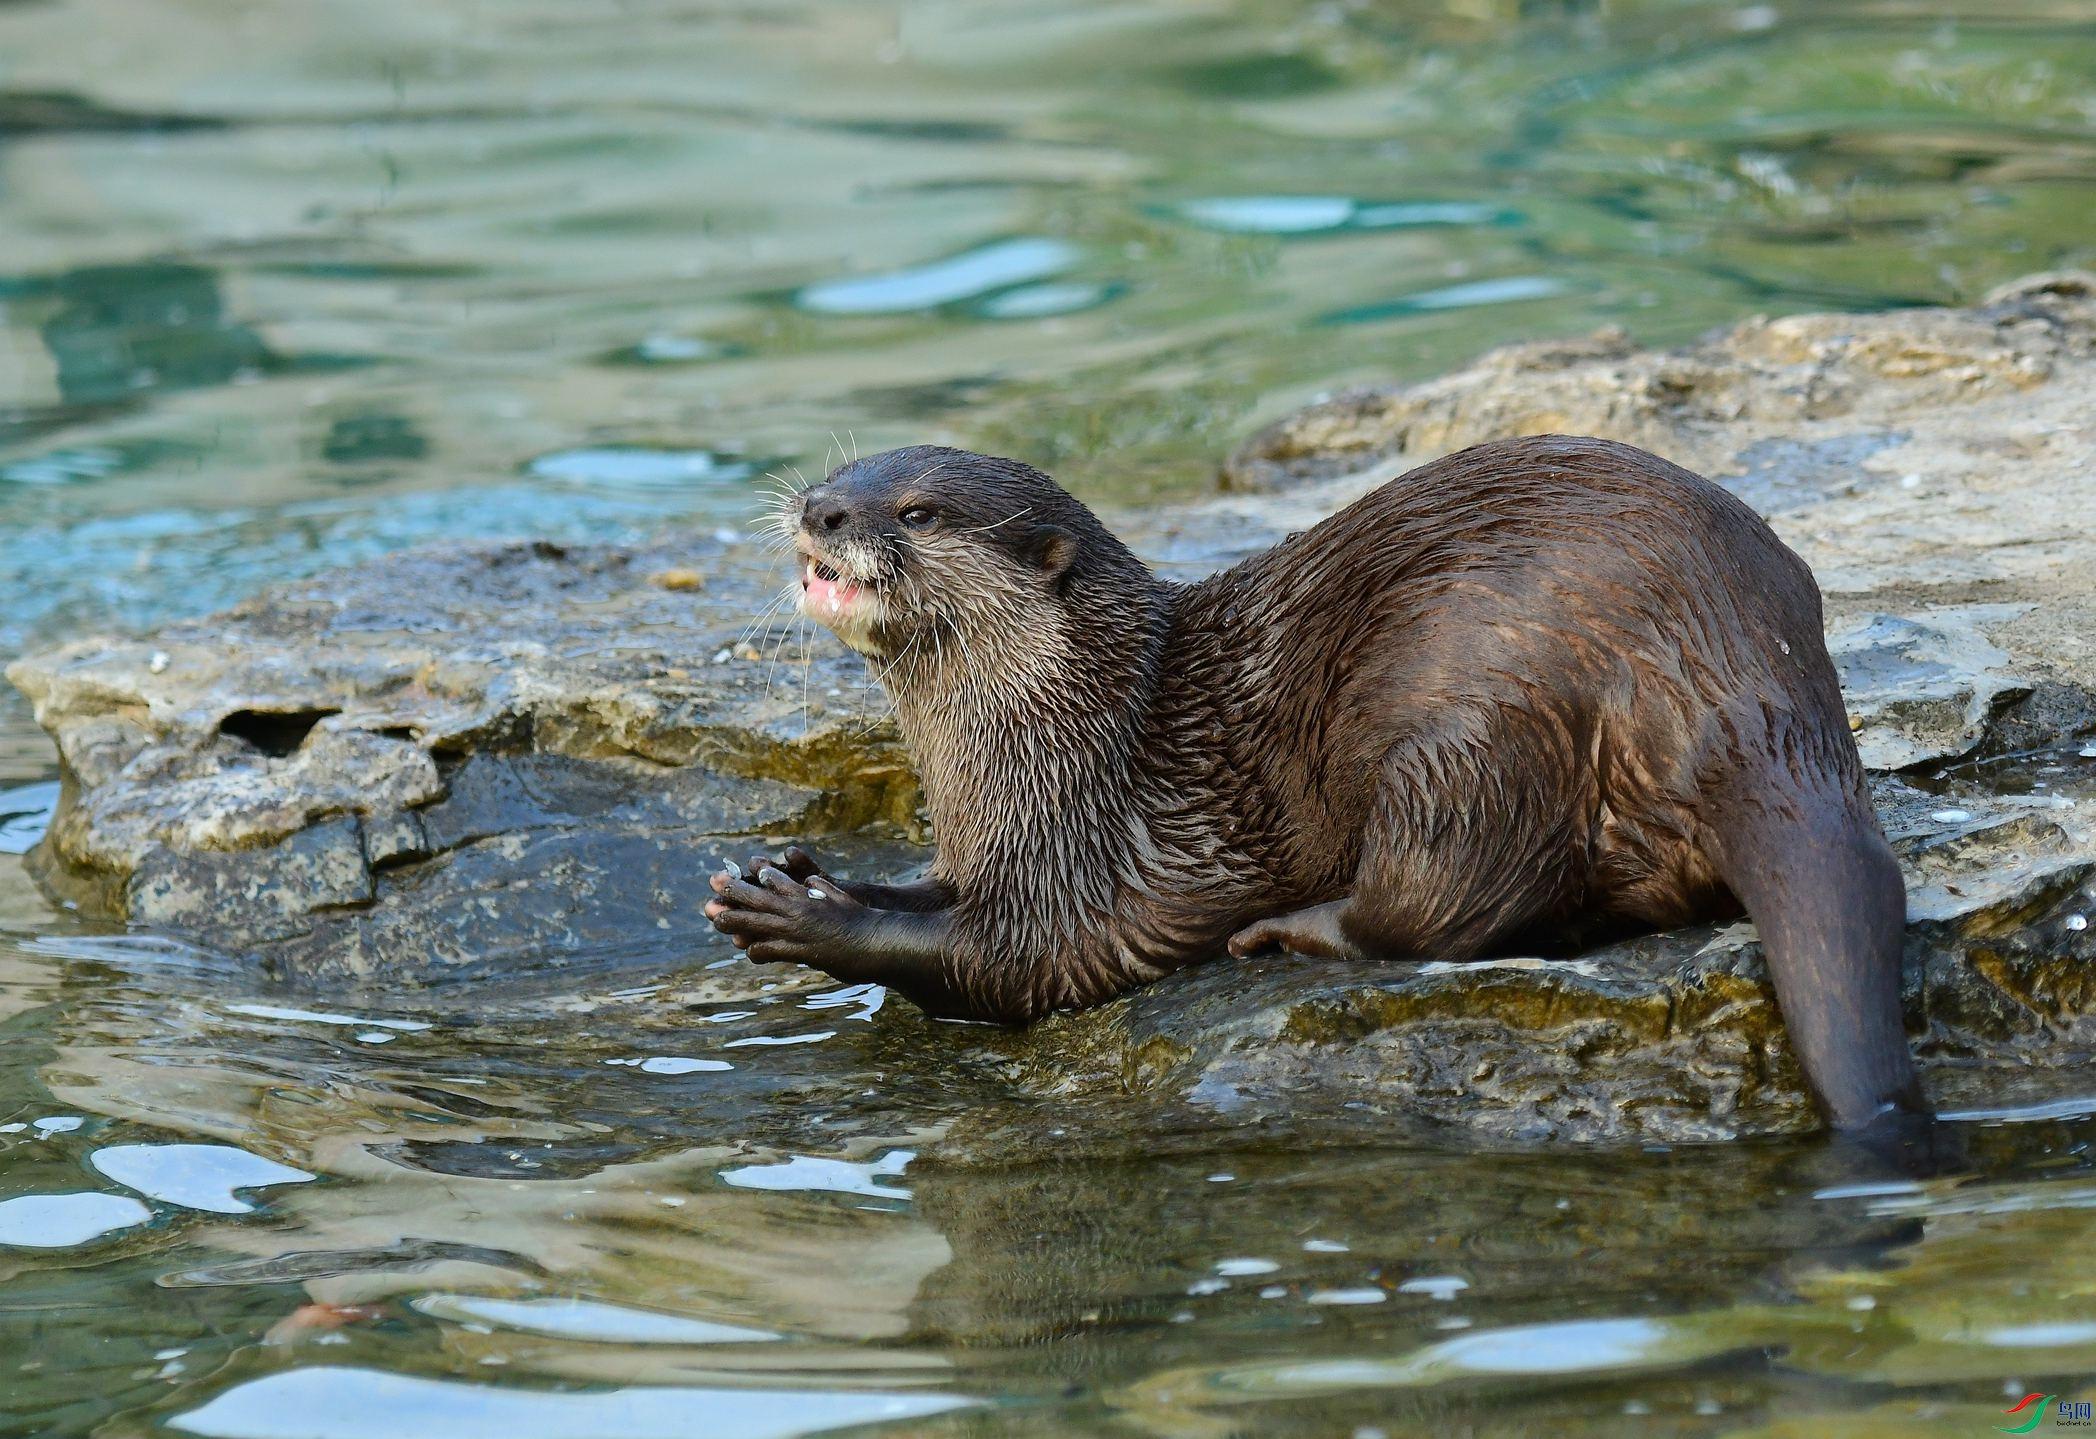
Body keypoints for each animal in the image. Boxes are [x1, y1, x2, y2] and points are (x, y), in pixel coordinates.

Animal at [712, 439, 1919, 1139]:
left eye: (915, 513)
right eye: (843, 472)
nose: (819, 509)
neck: (1059, 727)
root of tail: (1740, 683)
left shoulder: (1088, 856)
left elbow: (1018, 957)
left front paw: (803, 917)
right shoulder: (987, 840)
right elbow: (935, 895)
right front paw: (804, 872)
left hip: (1467, 727)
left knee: (1441, 904)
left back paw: (1291, 929)